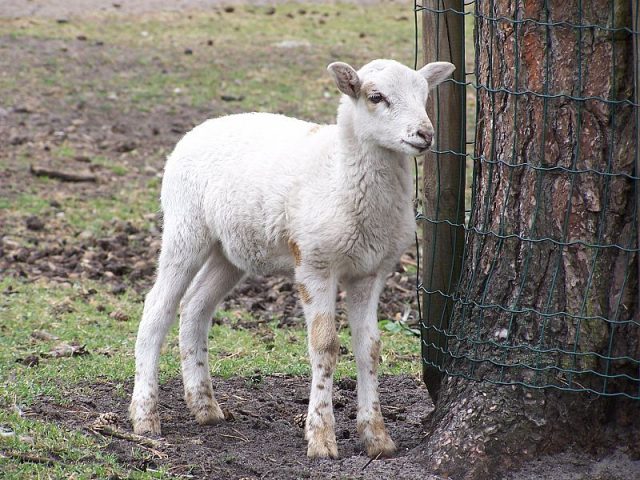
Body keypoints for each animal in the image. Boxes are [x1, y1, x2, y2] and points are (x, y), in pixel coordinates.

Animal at [129, 58, 455, 459]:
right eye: (376, 97)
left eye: (424, 96)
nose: (424, 134)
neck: (339, 172)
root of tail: (197, 129)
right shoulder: (314, 261)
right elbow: (325, 345)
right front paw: (321, 437)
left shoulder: (371, 270)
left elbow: (370, 347)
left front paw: (377, 438)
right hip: (185, 225)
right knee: (157, 307)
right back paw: (145, 416)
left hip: (230, 249)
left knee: (194, 306)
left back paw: (204, 406)